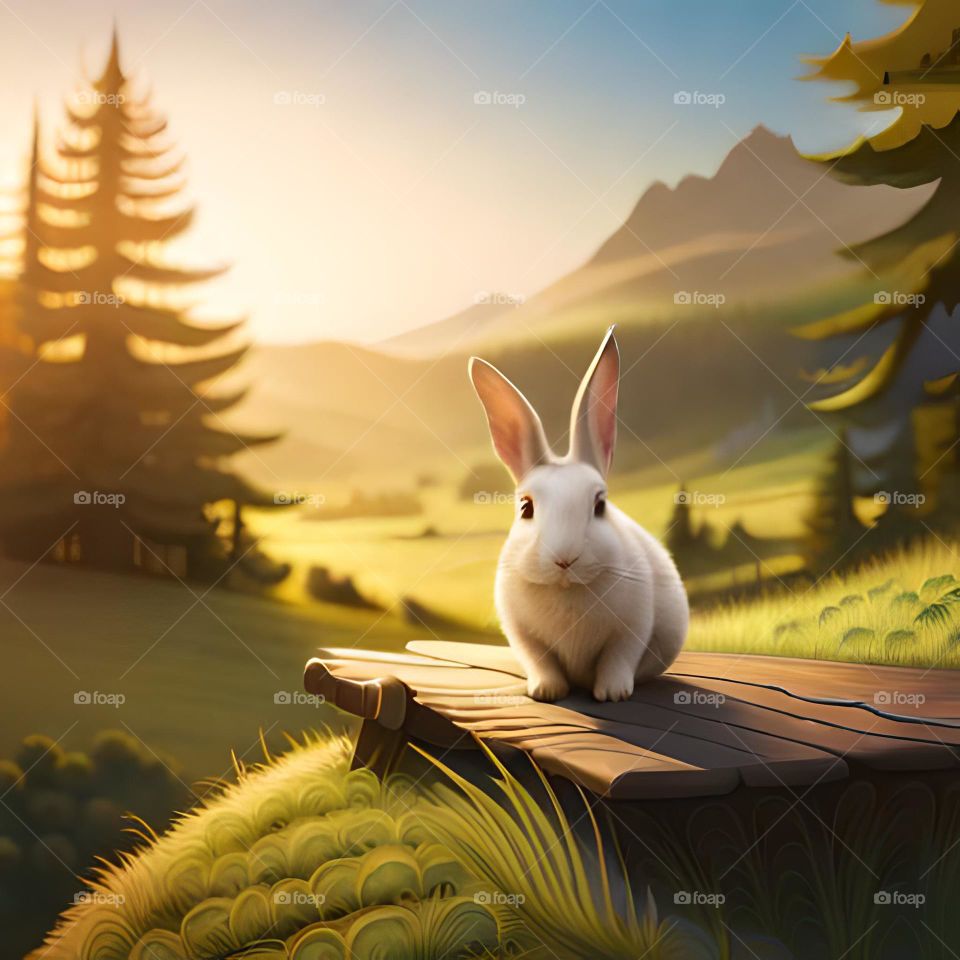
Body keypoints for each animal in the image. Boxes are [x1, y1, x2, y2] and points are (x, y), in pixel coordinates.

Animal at [468, 325, 688, 703]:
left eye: (600, 505)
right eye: (526, 507)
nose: (564, 559)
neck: (567, 589)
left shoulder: (631, 630)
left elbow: (617, 659)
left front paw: (613, 693)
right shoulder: (523, 635)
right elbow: (541, 662)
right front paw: (546, 691)